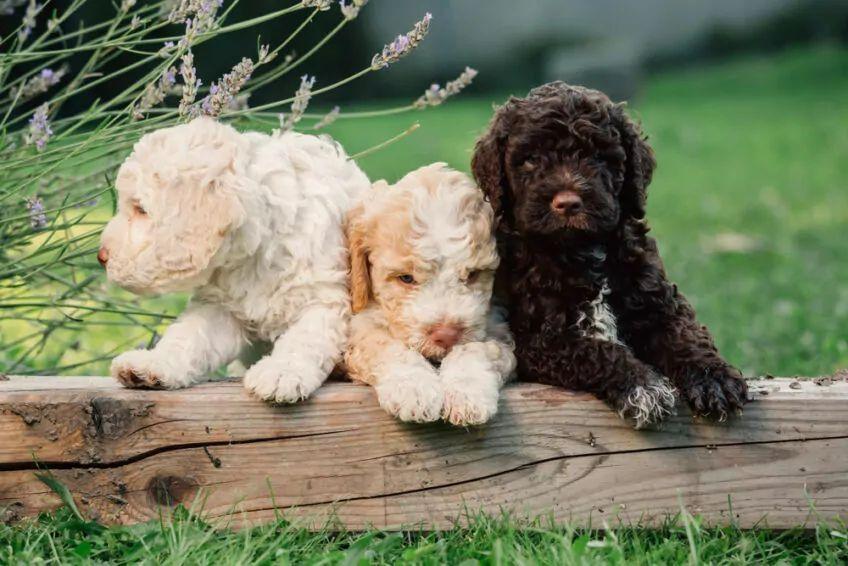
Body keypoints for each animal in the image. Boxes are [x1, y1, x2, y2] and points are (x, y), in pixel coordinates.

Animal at [98, 117, 368, 404]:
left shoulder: (324, 299)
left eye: (141, 209)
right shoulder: (220, 307)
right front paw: (154, 363)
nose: (101, 256)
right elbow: (189, 336)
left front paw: (280, 372)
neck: (257, 253)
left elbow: (304, 338)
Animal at [344, 164, 516, 426]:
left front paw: (466, 392)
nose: (446, 336)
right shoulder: (361, 330)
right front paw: (413, 389)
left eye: (473, 274)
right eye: (406, 278)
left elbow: (476, 349)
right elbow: (387, 347)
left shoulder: (499, 331)